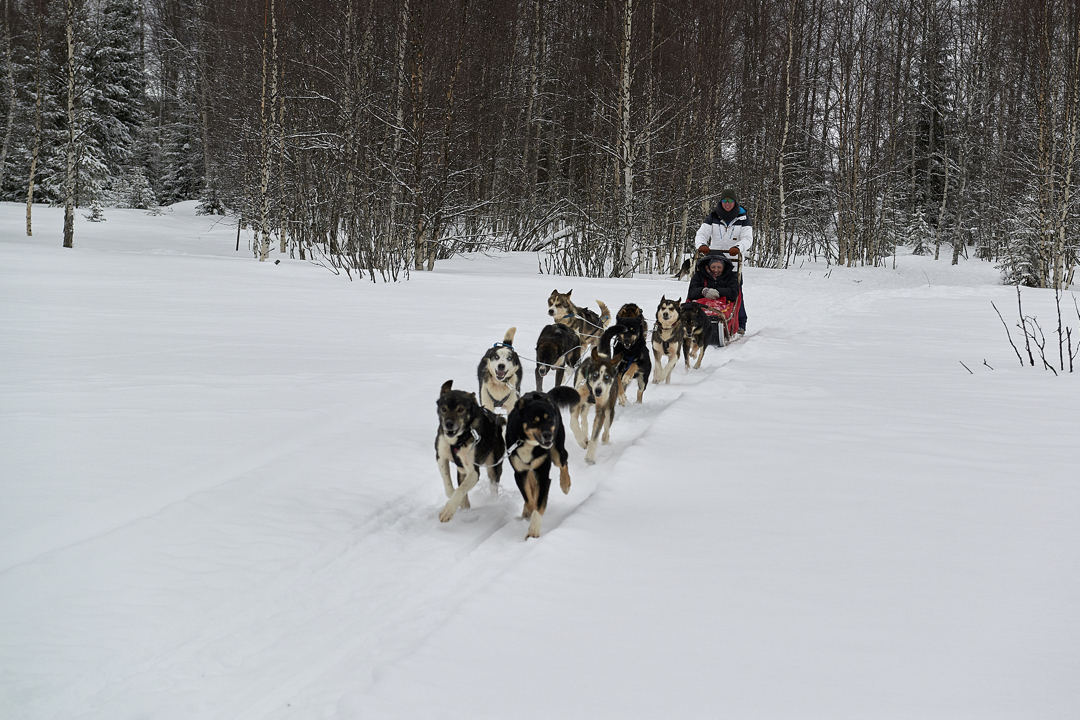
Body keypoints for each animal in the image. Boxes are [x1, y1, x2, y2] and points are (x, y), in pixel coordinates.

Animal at [434, 382, 505, 524]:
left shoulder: (473, 471)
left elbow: (459, 490)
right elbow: (449, 486)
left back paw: (492, 501)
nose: (448, 424)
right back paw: (465, 507)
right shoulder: (441, 457)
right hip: (461, 470)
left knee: (493, 484)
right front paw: (456, 501)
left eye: (461, 410)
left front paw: (448, 510)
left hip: (494, 465)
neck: (458, 440)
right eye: (443, 409)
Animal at [505, 388, 583, 535]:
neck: (528, 443)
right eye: (534, 421)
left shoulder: (543, 474)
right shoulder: (520, 473)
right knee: (532, 486)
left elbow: (538, 502)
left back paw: (565, 484)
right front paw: (528, 511)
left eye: (549, 419)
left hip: (557, 451)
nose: (548, 435)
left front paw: (533, 531)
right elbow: (529, 499)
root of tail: (545, 395)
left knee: (563, 461)